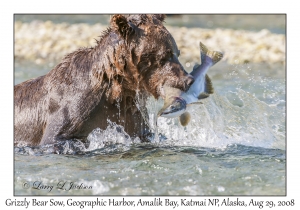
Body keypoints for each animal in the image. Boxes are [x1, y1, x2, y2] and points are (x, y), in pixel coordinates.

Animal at [14, 14, 193, 146]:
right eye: (164, 55)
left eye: (177, 52)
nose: (188, 80)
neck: (116, 88)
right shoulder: (72, 107)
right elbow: (56, 138)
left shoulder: (130, 113)